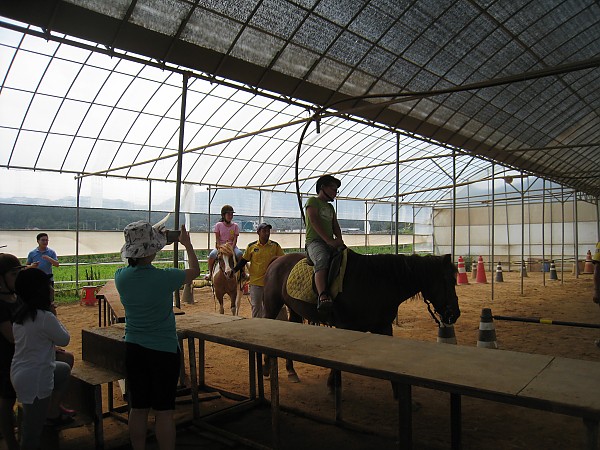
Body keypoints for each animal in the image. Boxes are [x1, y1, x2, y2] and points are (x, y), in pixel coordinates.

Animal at [262, 248, 460, 384]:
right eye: (447, 281)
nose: (455, 313)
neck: (375, 281)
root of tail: (277, 260)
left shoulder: (384, 327)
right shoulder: (345, 326)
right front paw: (333, 384)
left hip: (294, 309)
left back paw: (291, 371)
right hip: (272, 305)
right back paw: (265, 368)